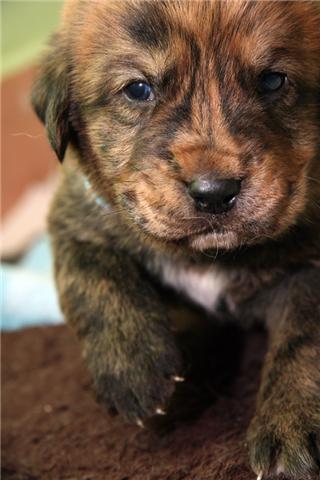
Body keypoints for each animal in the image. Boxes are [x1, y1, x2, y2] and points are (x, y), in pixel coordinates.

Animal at [32, 1, 320, 478]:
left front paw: (291, 431)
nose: (214, 193)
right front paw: (133, 368)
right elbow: (90, 273)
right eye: (138, 89)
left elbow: (304, 342)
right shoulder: (76, 214)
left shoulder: (309, 264)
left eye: (272, 80)